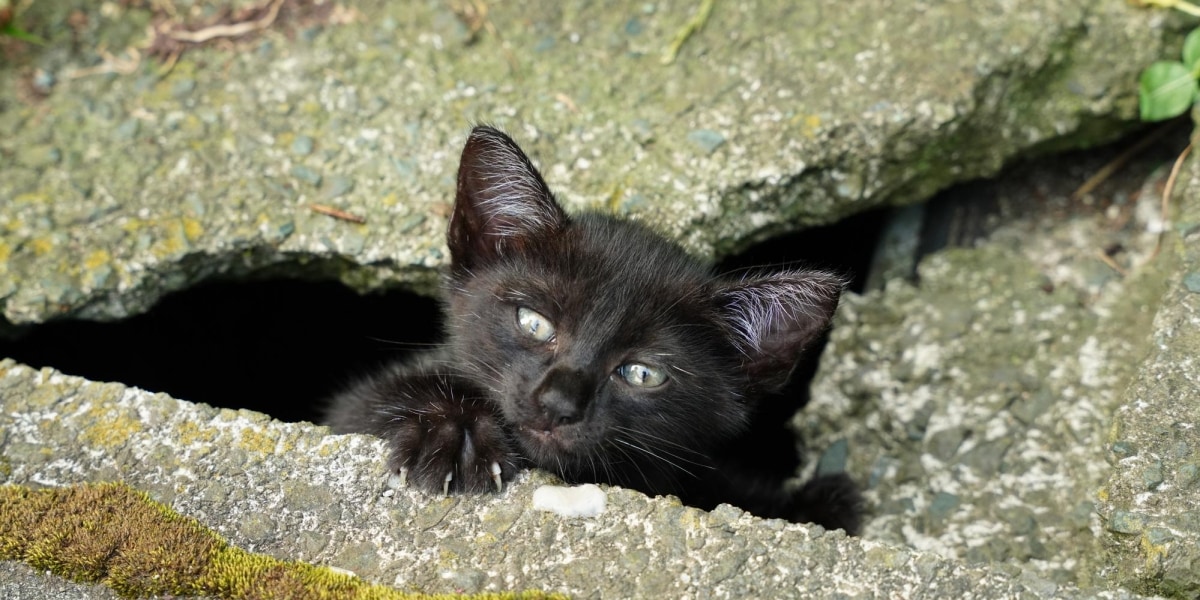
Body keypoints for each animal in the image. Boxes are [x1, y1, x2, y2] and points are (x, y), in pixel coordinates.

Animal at [324, 124, 859, 532]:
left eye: (642, 374)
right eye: (534, 323)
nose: (557, 404)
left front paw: (823, 503)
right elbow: (371, 401)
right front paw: (454, 429)